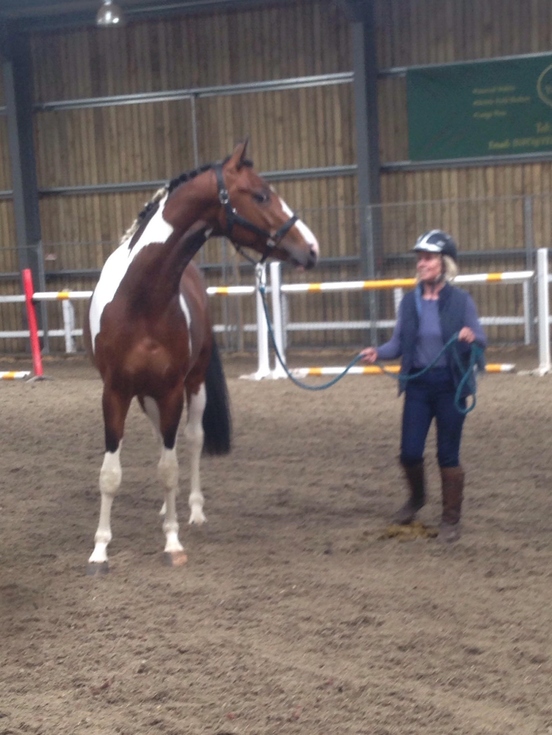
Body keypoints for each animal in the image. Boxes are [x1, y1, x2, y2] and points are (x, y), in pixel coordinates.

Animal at [84, 139, 319, 574]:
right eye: (260, 195)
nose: (311, 248)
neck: (141, 300)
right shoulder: (115, 393)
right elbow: (110, 474)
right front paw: (100, 550)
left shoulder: (172, 391)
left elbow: (170, 468)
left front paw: (173, 542)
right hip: (147, 396)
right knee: (164, 440)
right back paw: (166, 511)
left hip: (190, 388)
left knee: (191, 441)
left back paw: (191, 511)